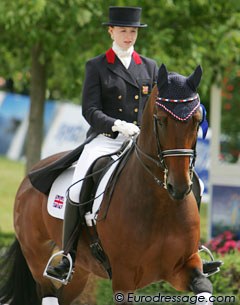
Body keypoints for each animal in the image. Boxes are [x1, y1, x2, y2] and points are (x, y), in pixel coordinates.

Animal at [0, 64, 214, 304]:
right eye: (160, 120)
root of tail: (29, 178)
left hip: (81, 273)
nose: (179, 187)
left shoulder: (183, 266)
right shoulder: (124, 278)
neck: (161, 205)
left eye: (197, 121)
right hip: (37, 258)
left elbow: (203, 285)